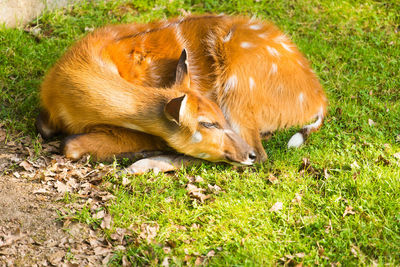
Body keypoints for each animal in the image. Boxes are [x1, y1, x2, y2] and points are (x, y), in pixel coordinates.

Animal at [36, 14, 326, 174]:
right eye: (208, 123)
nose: (246, 155)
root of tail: (319, 99)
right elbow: (48, 130)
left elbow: (70, 144)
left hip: (239, 87)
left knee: (261, 154)